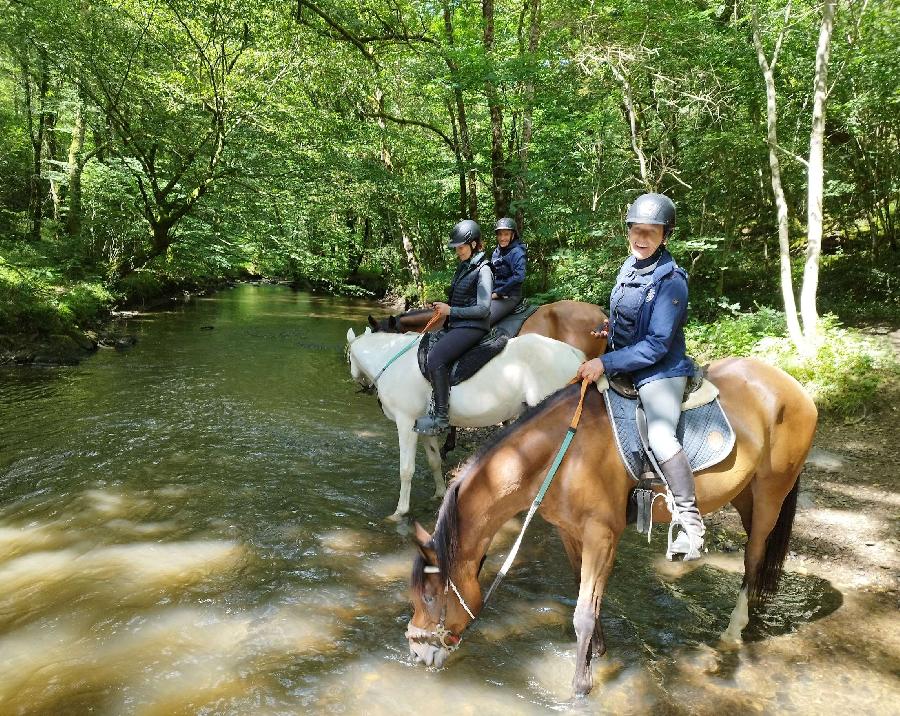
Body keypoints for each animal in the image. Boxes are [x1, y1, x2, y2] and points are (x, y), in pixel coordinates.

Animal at [344, 326, 584, 520]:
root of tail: (574, 353)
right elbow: (434, 460)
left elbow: (406, 469)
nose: (362, 385)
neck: (395, 363)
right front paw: (439, 494)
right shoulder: (423, 426)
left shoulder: (406, 422)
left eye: (348, 358)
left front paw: (400, 512)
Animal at [406, 358, 816, 692]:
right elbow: (585, 595)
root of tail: (792, 386)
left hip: (770, 493)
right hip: (745, 495)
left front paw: (581, 685)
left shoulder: (602, 535)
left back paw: (734, 630)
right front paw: (598, 653)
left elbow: (584, 612)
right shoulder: (570, 532)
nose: (415, 652)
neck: (561, 454)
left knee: (754, 556)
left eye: (431, 596)